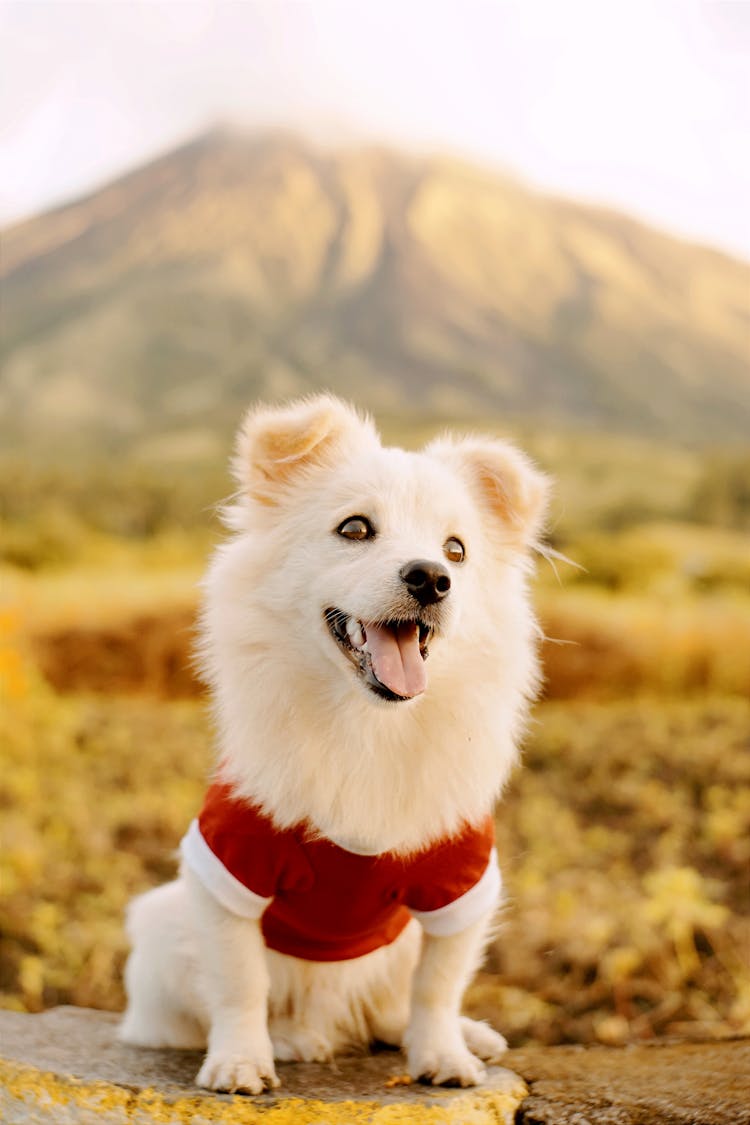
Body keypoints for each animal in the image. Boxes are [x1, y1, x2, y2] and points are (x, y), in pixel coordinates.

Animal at [120, 393, 548, 1089]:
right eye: (354, 529)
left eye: (456, 550)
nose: (432, 578)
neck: (368, 724)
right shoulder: (228, 871)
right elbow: (238, 983)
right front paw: (241, 1062)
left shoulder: (461, 884)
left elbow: (438, 986)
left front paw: (443, 1056)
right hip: (162, 927)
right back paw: (294, 1040)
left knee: (391, 1008)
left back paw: (465, 1036)